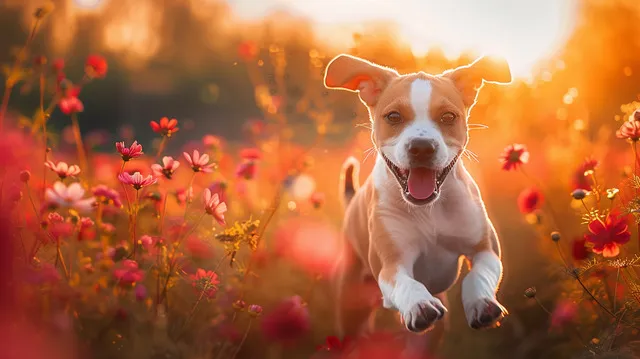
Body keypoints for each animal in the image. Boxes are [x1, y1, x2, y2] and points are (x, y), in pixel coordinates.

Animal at [328, 54, 512, 354]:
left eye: (448, 116)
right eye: (393, 116)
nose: (422, 147)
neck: (428, 209)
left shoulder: (486, 249)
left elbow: (478, 274)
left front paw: (481, 302)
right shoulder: (392, 264)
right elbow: (404, 282)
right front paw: (418, 304)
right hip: (351, 306)